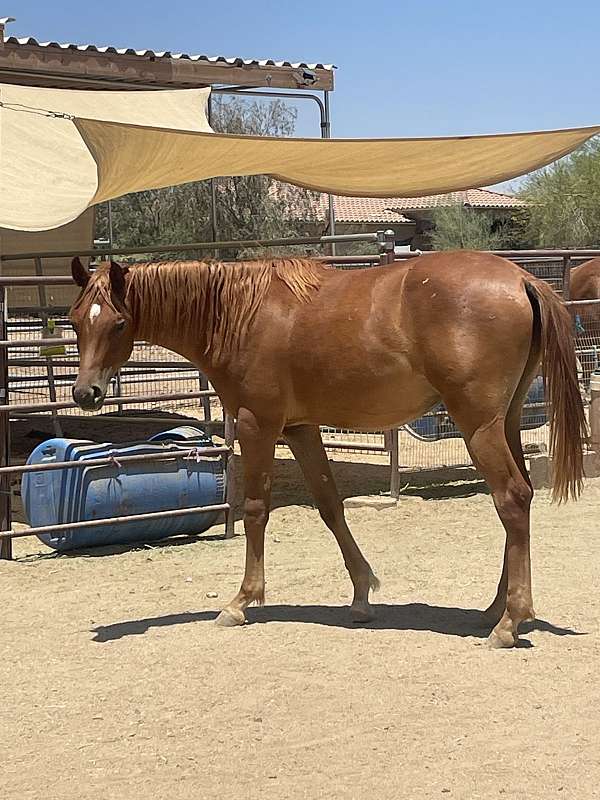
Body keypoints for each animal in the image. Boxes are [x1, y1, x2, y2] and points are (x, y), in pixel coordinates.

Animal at [68, 253, 584, 648]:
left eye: (118, 323)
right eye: (74, 321)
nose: (85, 393)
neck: (241, 313)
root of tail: (521, 278)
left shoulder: (258, 425)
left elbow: (255, 509)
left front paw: (241, 601)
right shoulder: (300, 429)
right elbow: (330, 505)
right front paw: (361, 594)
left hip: (479, 426)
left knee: (511, 499)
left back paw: (508, 622)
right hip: (506, 422)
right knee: (520, 500)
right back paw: (497, 607)